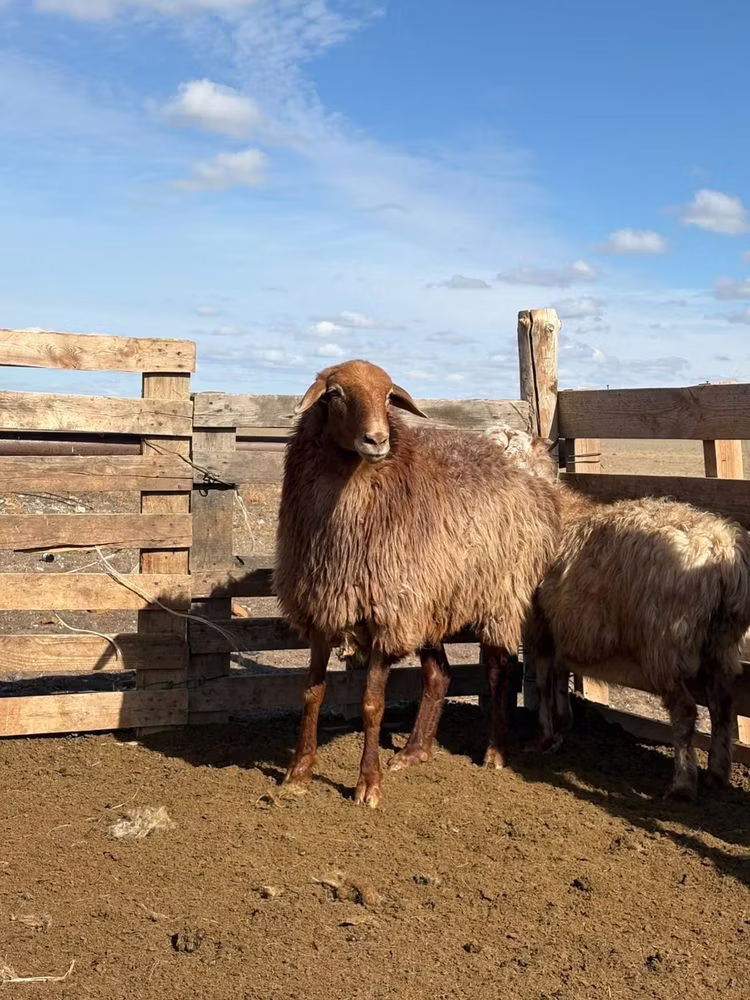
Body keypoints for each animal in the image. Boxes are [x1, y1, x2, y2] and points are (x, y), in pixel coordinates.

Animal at [274, 360, 563, 806]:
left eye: (388, 396)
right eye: (335, 394)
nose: (377, 440)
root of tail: (526, 457)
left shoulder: (386, 617)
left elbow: (372, 704)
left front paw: (367, 784)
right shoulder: (324, 609)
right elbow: (312, 694)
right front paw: (298, 772)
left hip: (499, 595)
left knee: (500, 671)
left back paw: (495, 751)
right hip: (430, 602)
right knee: (439, 674)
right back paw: (415, 751)